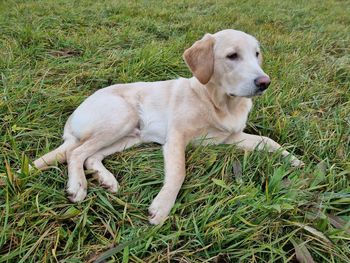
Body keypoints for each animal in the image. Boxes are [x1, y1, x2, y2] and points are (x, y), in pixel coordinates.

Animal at [32, 29, 304, 226]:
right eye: (232, 56)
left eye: (256, 54)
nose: (264, 82)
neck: (217, 102)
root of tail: (72, 118)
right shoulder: (176, 137)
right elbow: (179, 172)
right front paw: (163, 206)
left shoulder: (230, 137)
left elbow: (269, 141)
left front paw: (294, 160)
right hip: (122, 116)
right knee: (75, 152)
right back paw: (78, 185)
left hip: (131, 135)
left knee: (90, 156)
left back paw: (106, 179)